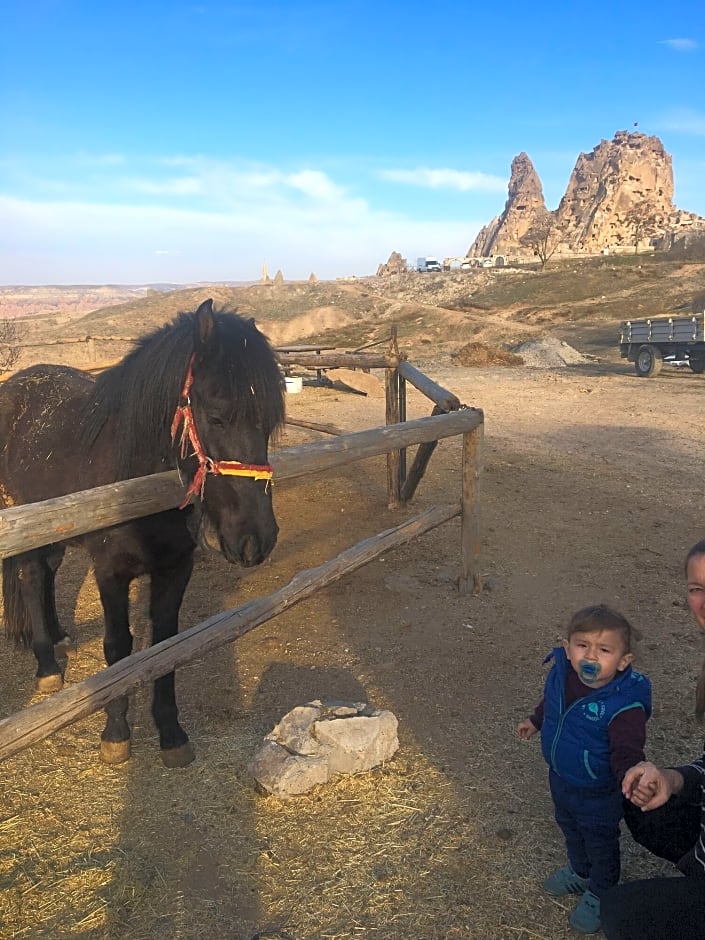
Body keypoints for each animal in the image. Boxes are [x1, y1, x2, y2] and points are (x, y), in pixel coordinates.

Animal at [1, 300, 286, 764]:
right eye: (217, 417)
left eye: (269, 422)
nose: (255, 540)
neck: (134, 475)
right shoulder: (110, 573)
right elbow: (118, 648)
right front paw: (116, 734)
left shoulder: (175, 568)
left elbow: (165, 644)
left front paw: (171, 733)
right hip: (21, 519)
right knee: (29, 576)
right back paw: (47, 666)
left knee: (48, 572)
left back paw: (60, 637)